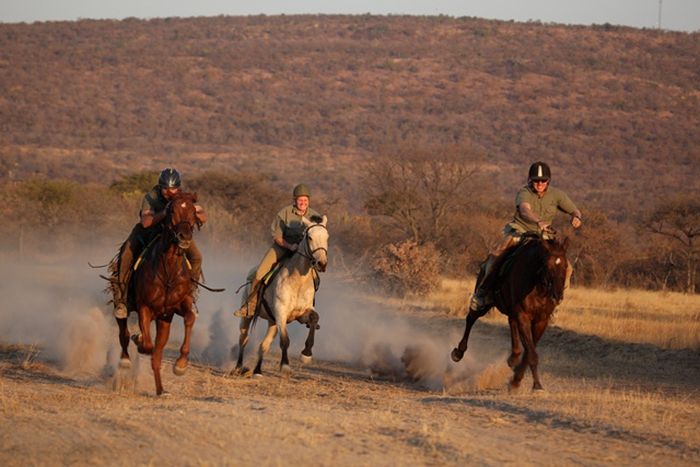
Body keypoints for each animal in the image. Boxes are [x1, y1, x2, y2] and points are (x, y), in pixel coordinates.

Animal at [235, 216, 328, 376]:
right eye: (309, 237)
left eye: (327, 237)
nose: (321, 263)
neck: (298, 281)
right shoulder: (281, 313)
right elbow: (285, 340)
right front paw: (285, 365)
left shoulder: (301, 314)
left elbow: (314, 318)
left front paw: (306, 353)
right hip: (247, 317)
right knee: (243, 339)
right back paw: (238, 367)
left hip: (272, 322)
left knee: (263, 345)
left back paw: (258, 371)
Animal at [454, 234, 568, 392]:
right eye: (547, 266)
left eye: (565, 266)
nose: (557, 295)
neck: (537, 285)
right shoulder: (523, 316)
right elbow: (531, 353)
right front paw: (536, 385)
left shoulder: (541, 321)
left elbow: (529, 352)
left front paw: (516, 380)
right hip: (484, 303)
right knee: (471, 318)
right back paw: (458, 352)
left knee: (512, 325)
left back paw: (513, 358)